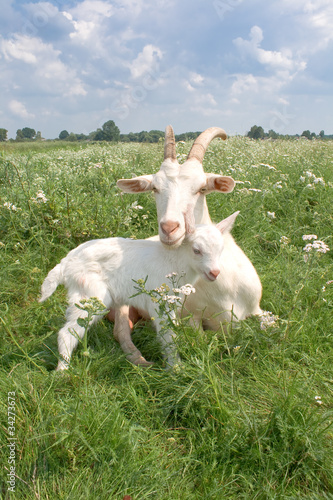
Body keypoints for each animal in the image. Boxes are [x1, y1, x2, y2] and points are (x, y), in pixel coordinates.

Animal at [39, 209, 239, 370]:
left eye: (220, 250)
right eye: (196, 250)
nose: (214, 273)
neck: (174, 259)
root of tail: (66, 263)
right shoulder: (160, 302)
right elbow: (168, 335)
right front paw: (176, 368)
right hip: (90, 294)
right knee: (67, 332)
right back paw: (63, 371)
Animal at [114, 126, 262, 364]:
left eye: (201, 188)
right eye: (154, 188)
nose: (169, 228)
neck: (221, 287)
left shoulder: (257, 309)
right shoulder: (191, 317)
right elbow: (200, 340)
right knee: (120, 329)